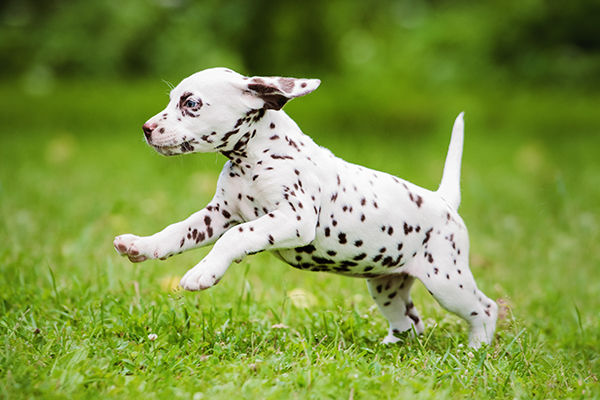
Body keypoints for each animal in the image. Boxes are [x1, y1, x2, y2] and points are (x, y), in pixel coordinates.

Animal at [112, 68, 496, 346]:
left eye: (191, 104)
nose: (146, 129)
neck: (254, 157)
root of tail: (443, 200)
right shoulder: (217, 215)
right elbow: (177, 231)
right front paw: (141, 245)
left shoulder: (293, 219)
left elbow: (237, 236)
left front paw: (202, 272)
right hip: (387, 286)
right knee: (410, 321)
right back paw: (392, 346)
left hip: (447, 281)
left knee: (485, 308)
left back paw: (476, 350)